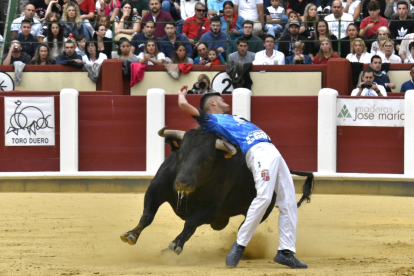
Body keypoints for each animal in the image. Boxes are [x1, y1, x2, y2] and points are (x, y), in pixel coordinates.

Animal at [119, 127, 314, 254]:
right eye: (180, 152)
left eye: (208, 159)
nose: (183, 183)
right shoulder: (156, 189)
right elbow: (147, 215)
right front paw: (131, 235)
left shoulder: (211, 208)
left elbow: (190, 223)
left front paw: (176, 244)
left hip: (262, 208)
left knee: (244, 227)